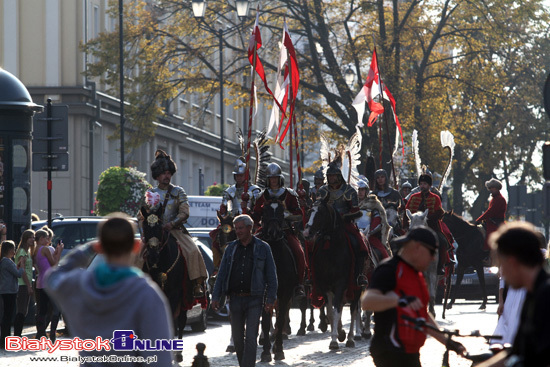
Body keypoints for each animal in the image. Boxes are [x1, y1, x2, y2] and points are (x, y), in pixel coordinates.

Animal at [141, 206, 193, 364]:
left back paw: (178, 353)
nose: (152, 256)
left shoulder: (175, 293)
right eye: (145, 228)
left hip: (184, 299)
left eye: (160, 228)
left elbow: (172, 321)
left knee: (180, 321)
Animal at [260, 200, 302, 360]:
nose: (273, 233)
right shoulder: (264, 293)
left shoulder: (285, 292)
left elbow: (280, 317)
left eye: (281, 212)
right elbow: (265, 320)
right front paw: (266, 351)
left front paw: (278, 350)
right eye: (264, 211)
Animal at [304, 201, 364, 350]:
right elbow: (331, 312)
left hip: (356, 287)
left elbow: (337, 310)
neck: (331, 249)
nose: (307, 232)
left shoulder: (340, 284)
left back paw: (351, 338)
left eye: (320, 213)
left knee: (354, 309)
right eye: (309, 212)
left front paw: (336, 339)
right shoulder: (325, 286)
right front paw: (337, 335)